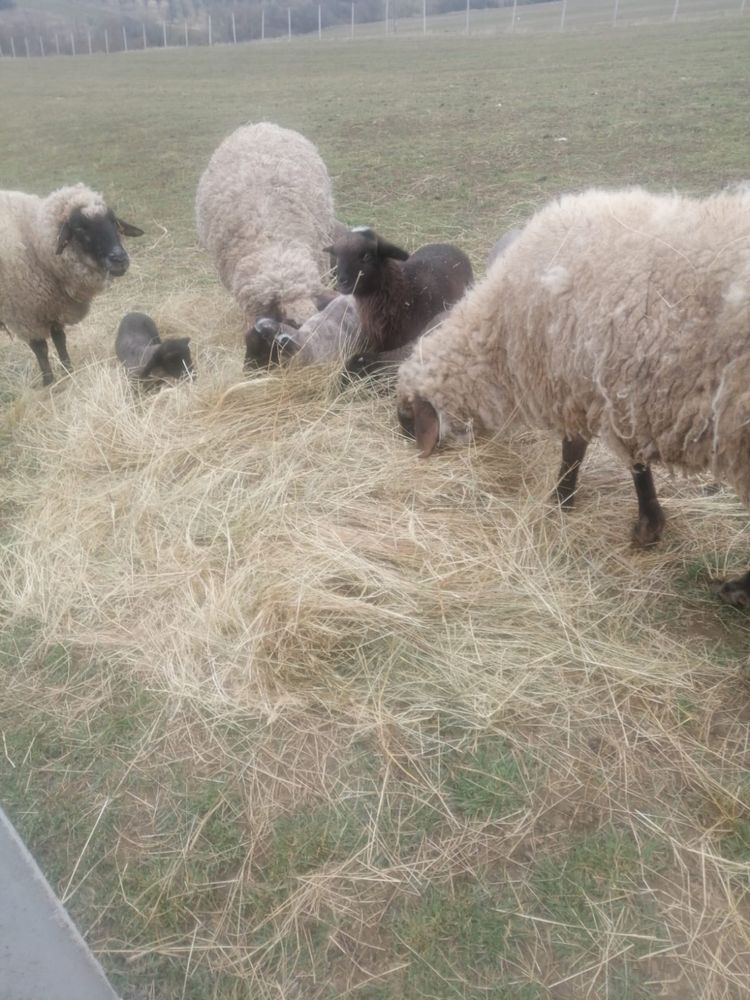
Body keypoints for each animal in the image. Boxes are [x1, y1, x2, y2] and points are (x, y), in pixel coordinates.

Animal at [0, 182, 144, 384]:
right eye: (79, 229)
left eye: (113, 222)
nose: (120, 260)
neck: (33, 242)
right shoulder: (25, 314)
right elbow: (40, 348)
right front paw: (49, 381)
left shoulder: (54, 306)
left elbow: (60, 339)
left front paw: (68, 371)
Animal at [400, 188, 750, 608]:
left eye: (406, 418)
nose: (403, 441)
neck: (500, 333)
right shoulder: (614, 393)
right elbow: (628, 461)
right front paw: (646, 524)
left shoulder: (582, 386)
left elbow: (583, 452)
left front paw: (566, 500)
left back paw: (738, 589)